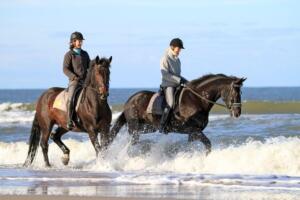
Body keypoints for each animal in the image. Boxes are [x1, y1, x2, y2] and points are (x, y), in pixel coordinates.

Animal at [110, 74, 246, 154]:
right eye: (235, 92)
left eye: (241, 92)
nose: (237, 113)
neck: (197, 99)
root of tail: (129, 101)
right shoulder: (194, 130)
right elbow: (208, 144)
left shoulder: (193, 134)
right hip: (136, 128)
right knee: (132, 141)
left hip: (148, 127)